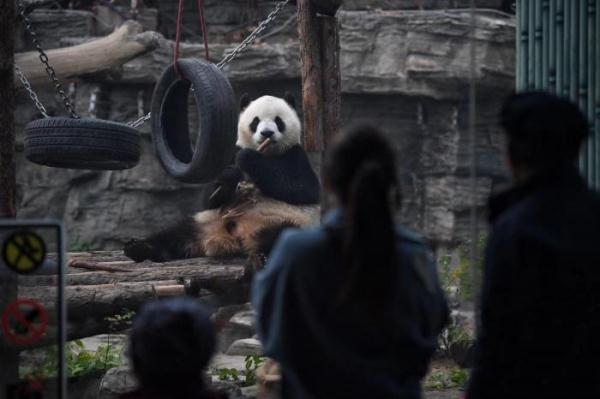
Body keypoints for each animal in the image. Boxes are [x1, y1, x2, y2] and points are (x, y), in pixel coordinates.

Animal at [123, 94, 324, 268]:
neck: (266, 153)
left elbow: (302, 189)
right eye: (255, 121)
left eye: (278, 121)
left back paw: (263, 258)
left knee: (282, 236)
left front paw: (248, 158)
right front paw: (229, 178)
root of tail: (233, 237)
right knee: (176, 233)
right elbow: (208, 199)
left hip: (287, 221)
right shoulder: (230, 154)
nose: (267, 133)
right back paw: (138, 248)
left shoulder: (294, 155)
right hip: (205, 220)